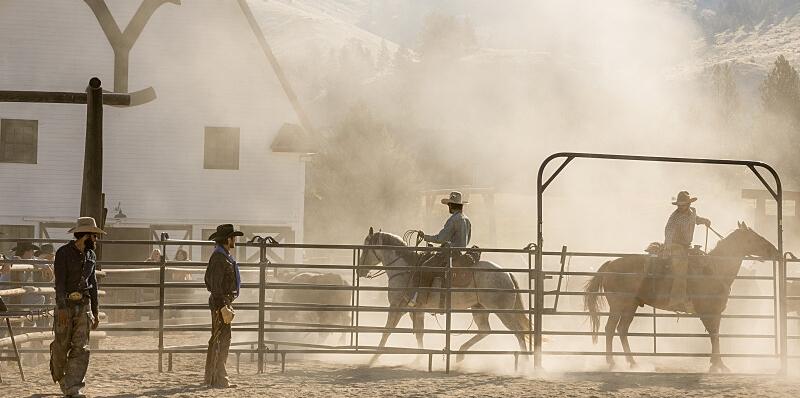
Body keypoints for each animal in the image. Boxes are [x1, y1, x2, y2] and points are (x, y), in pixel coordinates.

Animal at [358, 229, 532, 366]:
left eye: (365, 248)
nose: (360, 270)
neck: (405, 269)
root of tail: (507, 273)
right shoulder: (416, 310)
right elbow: (419, 333)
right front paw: (418, 359)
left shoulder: (397, 307)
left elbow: (386, 332)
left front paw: (372, 359)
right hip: (479, 308)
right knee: (485, 330)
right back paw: (460, 354)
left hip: (503, 312)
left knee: (519, 333)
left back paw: (525, 364)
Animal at [584, 222, 780, 372]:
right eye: (754, 238)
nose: (776, 251)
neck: (714, 268)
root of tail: (610, 264)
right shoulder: (708, 311)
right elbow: (714, 335)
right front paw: (719, 365)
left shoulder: (716, 312)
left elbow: (715, 335)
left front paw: (716, 363)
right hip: (618, 305)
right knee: (610, 329)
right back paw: (611, 362)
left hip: (630, 306)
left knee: (622, 330)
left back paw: (633, 363)